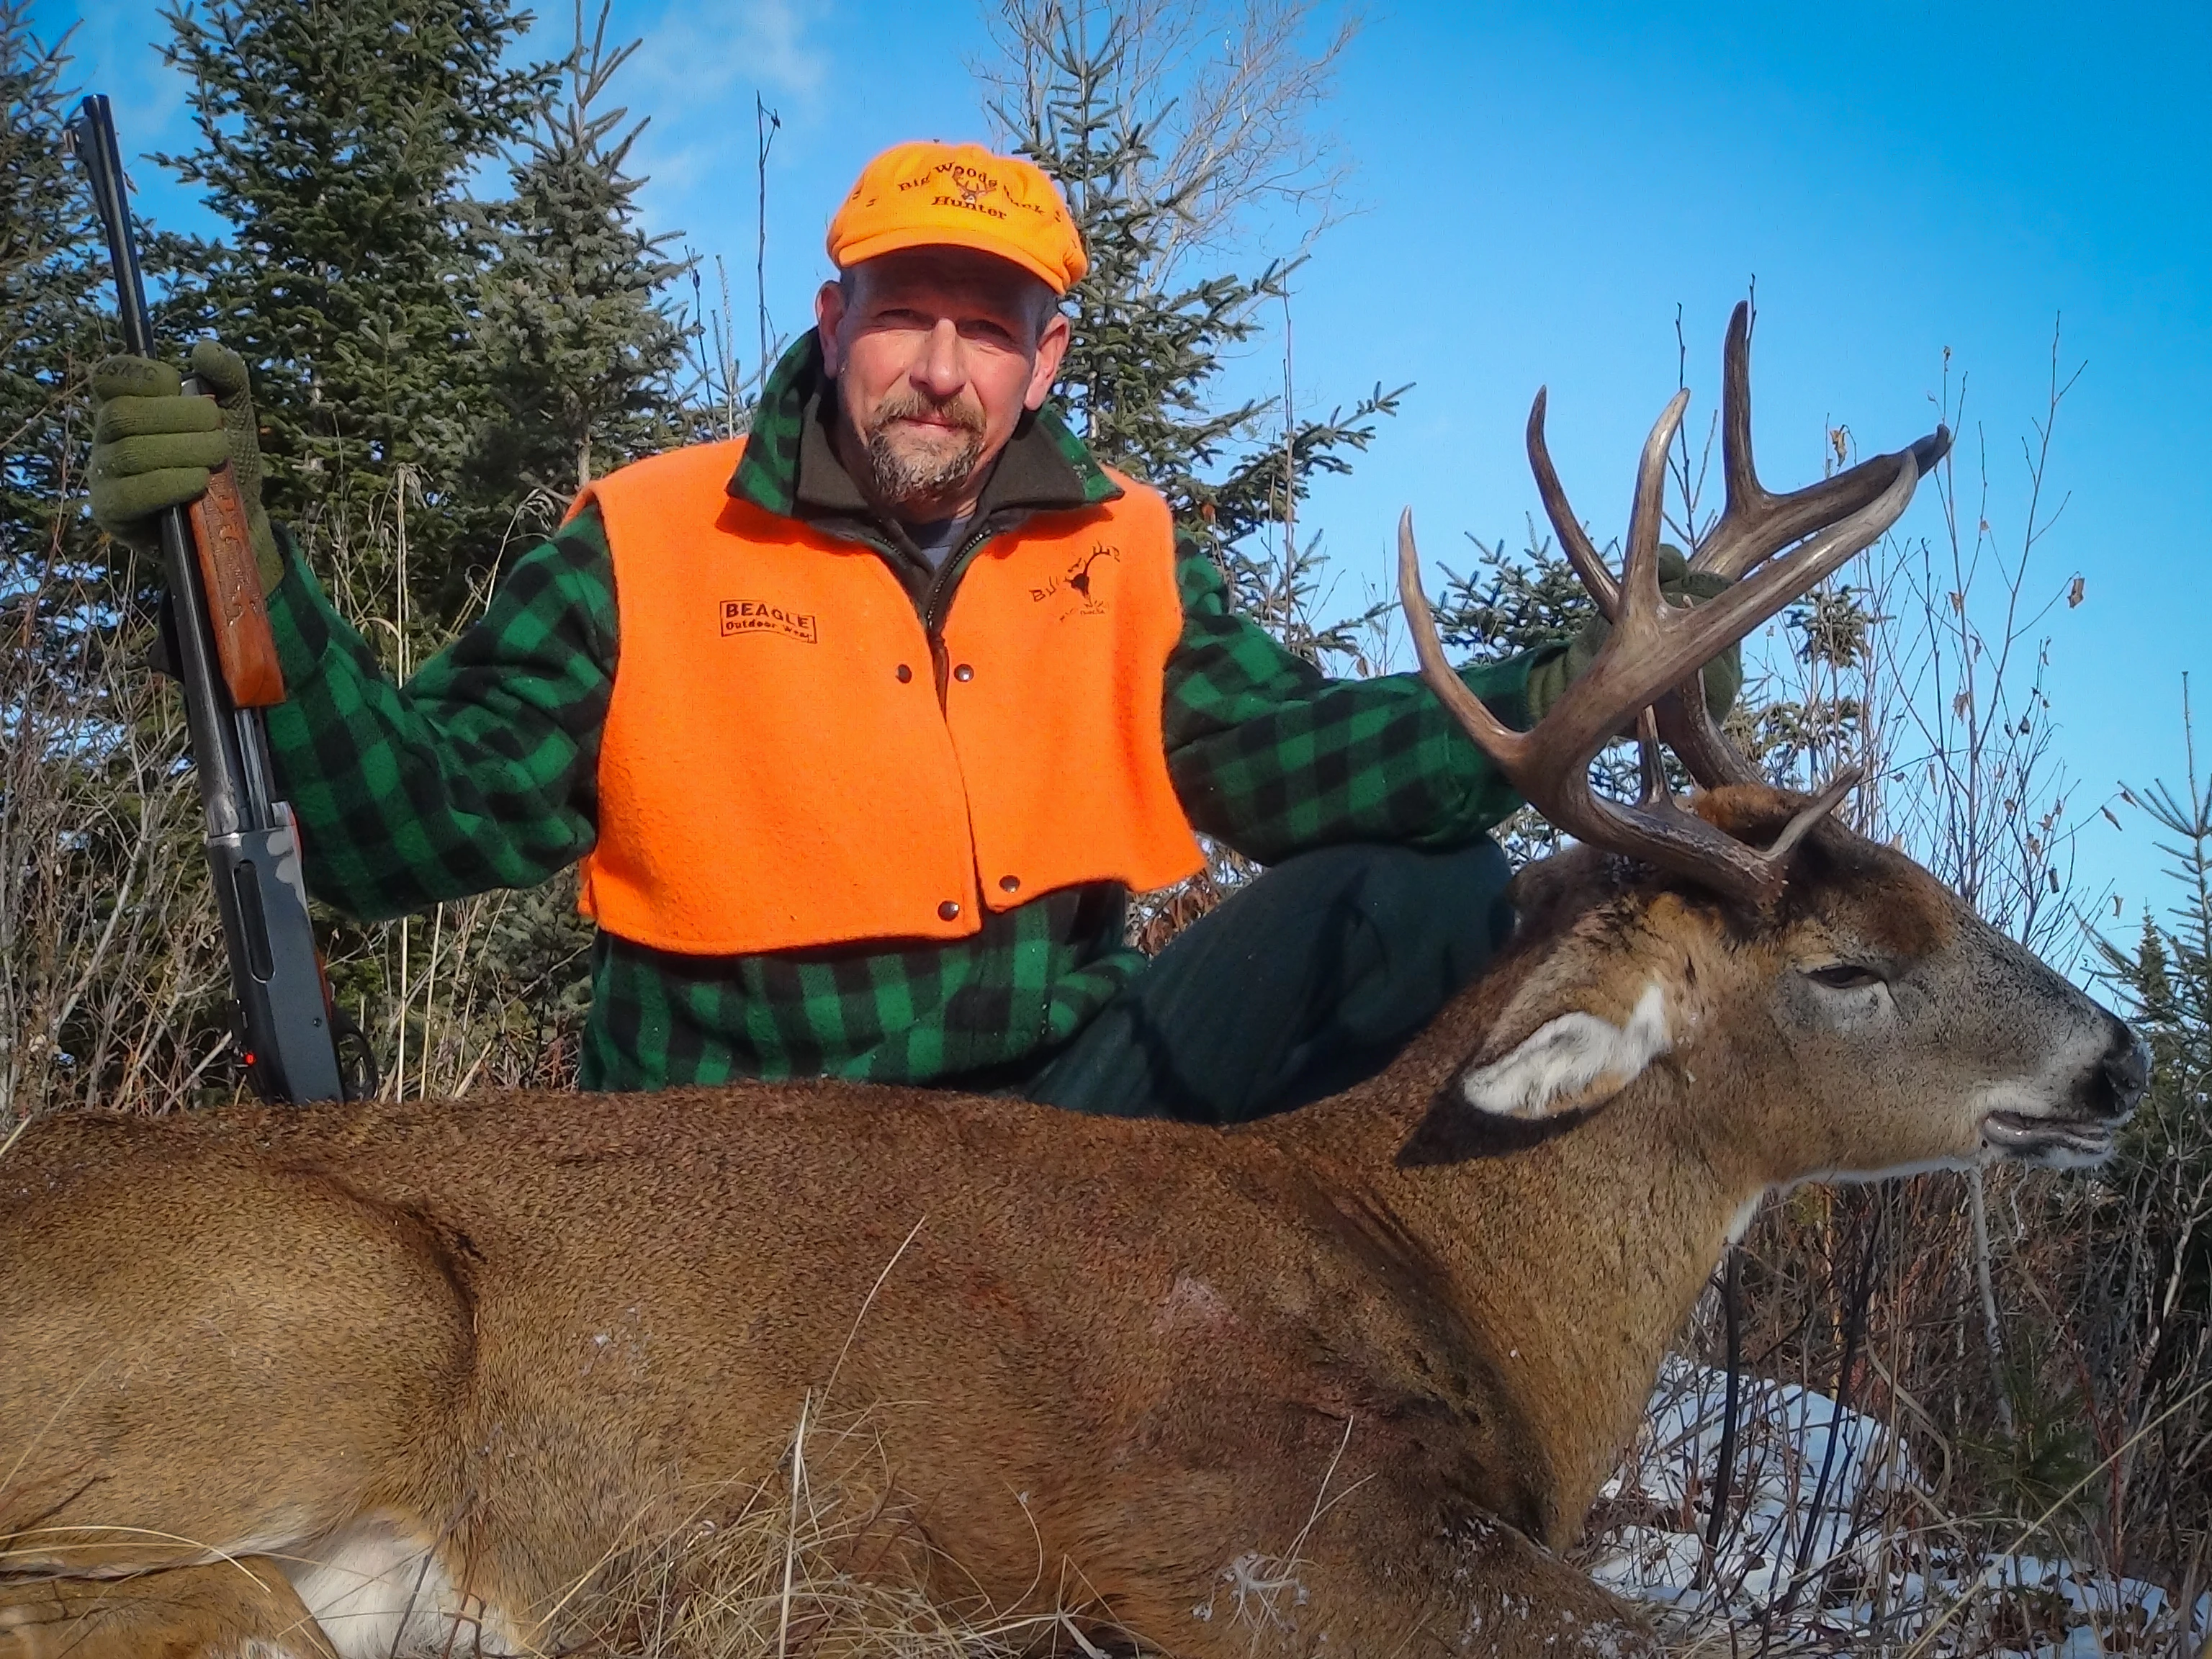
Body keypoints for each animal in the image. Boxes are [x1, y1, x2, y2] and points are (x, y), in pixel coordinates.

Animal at [0, 310, 2141, 1659]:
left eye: (1944, 894)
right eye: (1851, 967)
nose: (2118, 1062)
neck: (1458, 1273)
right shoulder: (1258, 1530)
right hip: (318, 1319)